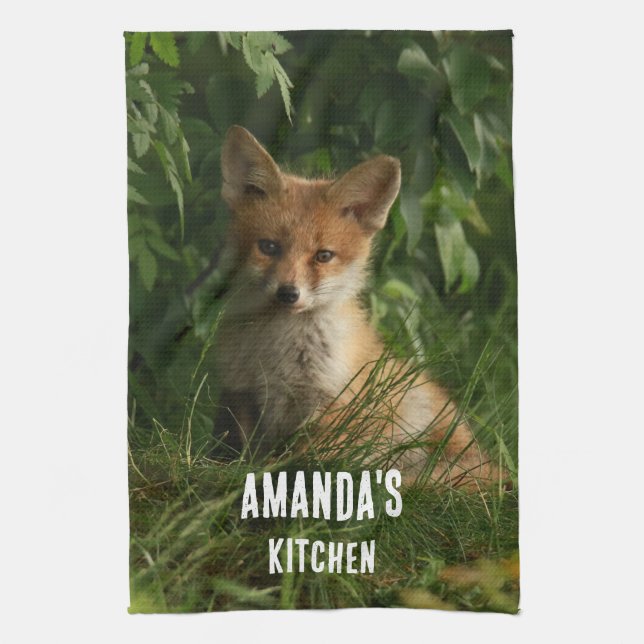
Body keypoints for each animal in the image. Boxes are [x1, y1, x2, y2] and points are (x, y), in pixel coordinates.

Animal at [212, 125, 501, 488]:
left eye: (323, 255)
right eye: (268, 247)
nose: (288, 293)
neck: (276, 350)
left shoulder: (330, 403)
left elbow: (303, 461)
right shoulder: (241, 393)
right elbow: (242, 452)